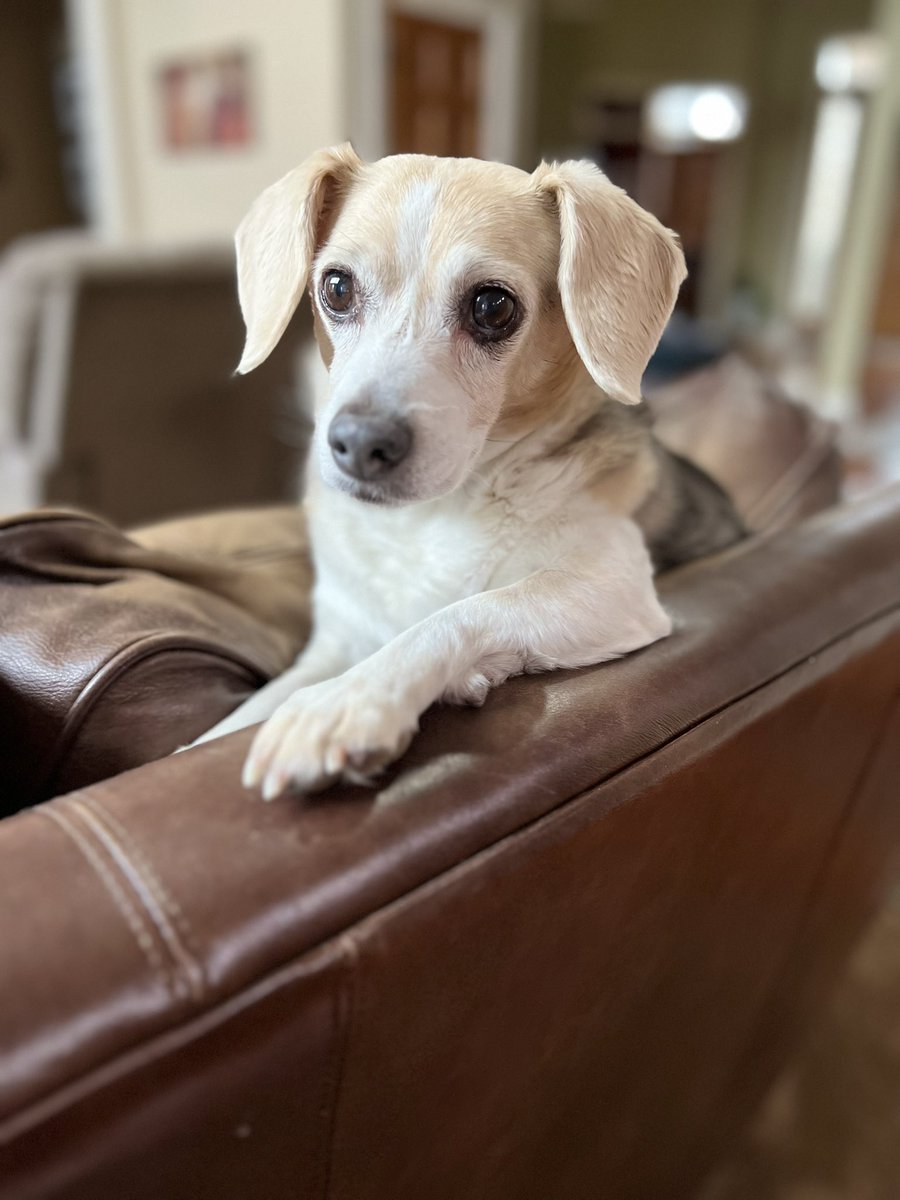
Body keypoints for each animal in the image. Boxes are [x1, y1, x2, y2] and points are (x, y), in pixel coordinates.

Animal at [192, 145, 748, 796]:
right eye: (336, 287)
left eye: (492, 306)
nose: (359, 444)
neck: (426, 521)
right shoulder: (334, 639)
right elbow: (228, 724)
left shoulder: (612, 585)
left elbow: (458, 614)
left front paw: (349, 698)